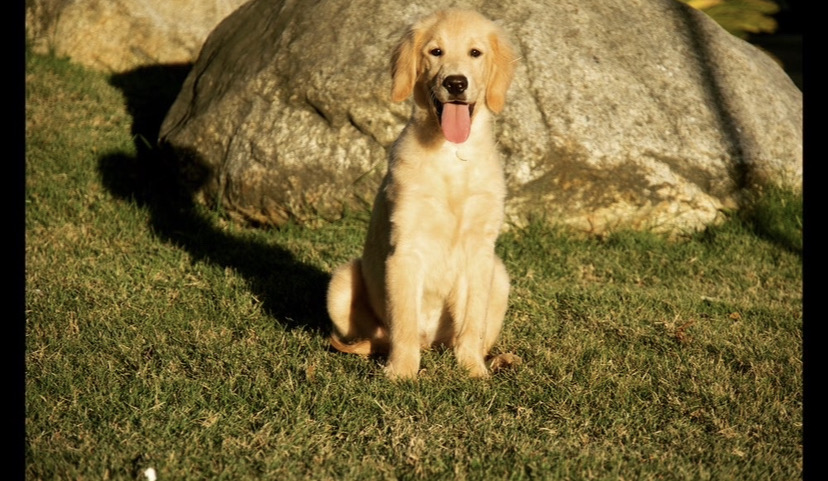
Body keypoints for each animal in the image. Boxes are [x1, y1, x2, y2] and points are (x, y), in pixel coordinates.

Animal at [326, 8, 516, 378]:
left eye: (475, 52)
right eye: (436, 52)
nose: (455, 83)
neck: (451, 154)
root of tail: (432, 342)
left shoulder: (480, 251)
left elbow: (471, 323)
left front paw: (473, 371)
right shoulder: (406, 248)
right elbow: (404, 322)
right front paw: (401, 373)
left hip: (499, 276)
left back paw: (496, 359)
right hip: (341, 283)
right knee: (380, 338)